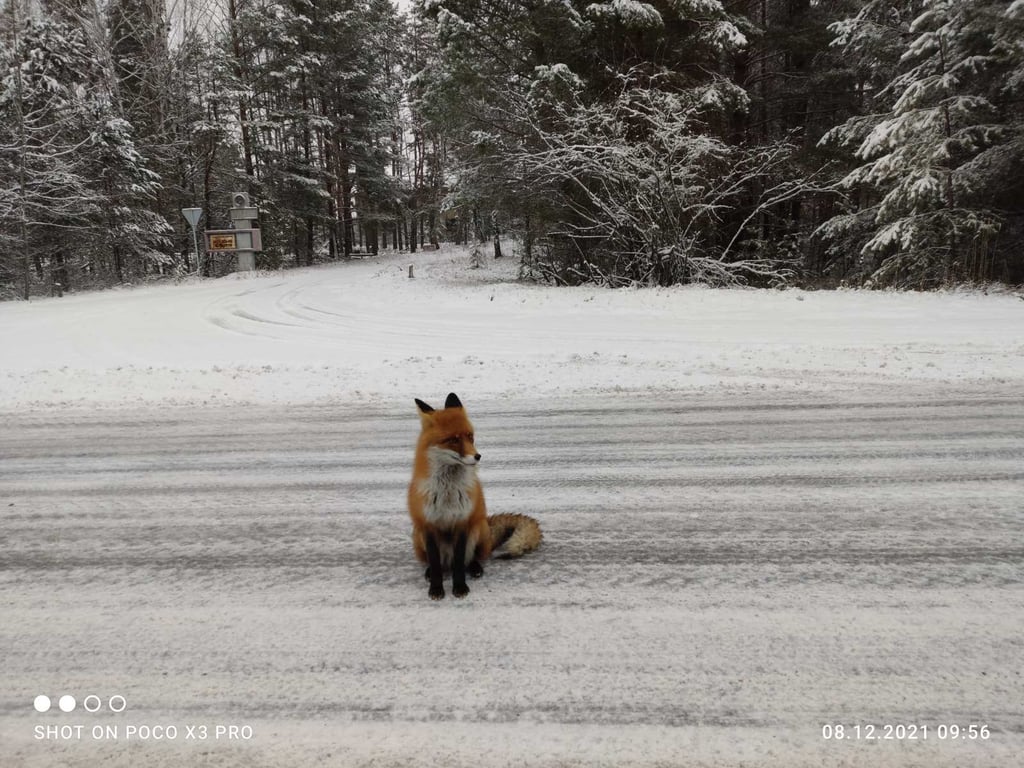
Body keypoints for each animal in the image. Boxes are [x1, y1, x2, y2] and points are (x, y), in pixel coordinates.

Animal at [405, 391, 540, 602]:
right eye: (453, 440)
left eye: (470, 437)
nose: (478, 456)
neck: (447, 492)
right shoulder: (428, 525)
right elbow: (435, 564)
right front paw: (436, 588)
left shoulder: (463, 523)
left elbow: (460, 562)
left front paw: (460, 587)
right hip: (417, 534)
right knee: (438, 564)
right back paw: (429, 572)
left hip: (477, 529)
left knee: (472, 558)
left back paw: (475, 568)